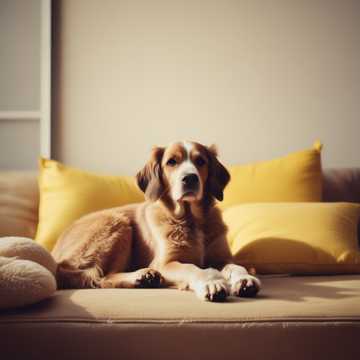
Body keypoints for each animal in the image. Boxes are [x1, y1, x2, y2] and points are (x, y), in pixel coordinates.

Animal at [52, 141, 260, 300]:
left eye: (201, 161)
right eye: (171, 162)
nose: (190, 178)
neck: (191, 220)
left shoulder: (222, 257)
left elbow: (236, 266)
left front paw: (244, 279)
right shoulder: (165, 263)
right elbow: (192, 268)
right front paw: (211, 282)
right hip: (116, 222)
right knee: (101, 277)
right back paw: (142, 276)